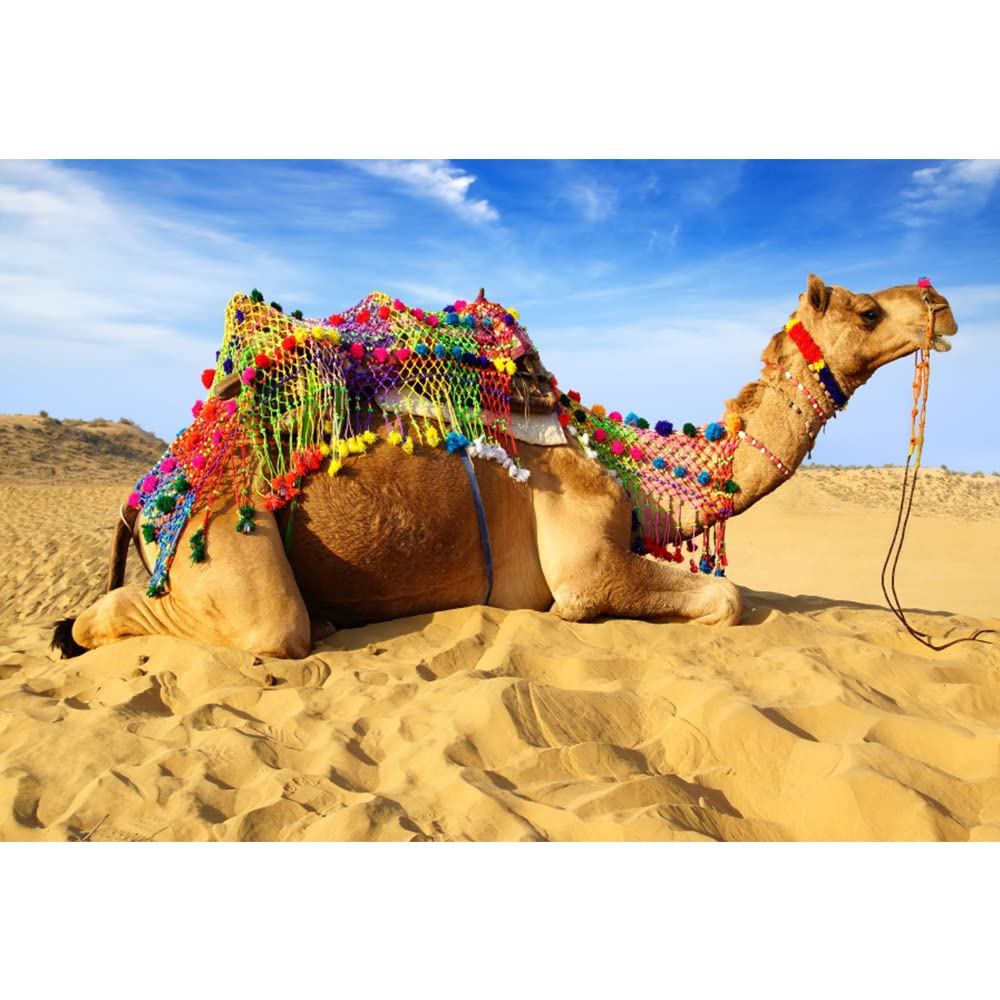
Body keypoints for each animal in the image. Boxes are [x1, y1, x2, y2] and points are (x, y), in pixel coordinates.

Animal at [52, 275, 957, 660]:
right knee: (231, 624)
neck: (634, 474)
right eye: (866, 311)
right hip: (217, 532)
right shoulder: (586, 562)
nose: (941, 305)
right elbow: (726, 599)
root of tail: (153, 485)